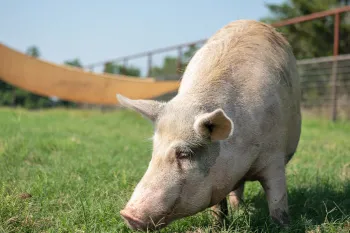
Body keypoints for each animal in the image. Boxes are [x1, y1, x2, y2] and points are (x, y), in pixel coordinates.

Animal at [117, 19, 300, 231]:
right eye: (154, 150)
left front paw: (283, 226)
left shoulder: (275, 157)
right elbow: (217, 207)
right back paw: (239, 210)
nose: (128, 214)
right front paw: (217, 226)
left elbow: (278, 200)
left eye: (184, 153)